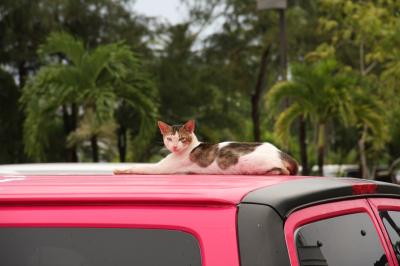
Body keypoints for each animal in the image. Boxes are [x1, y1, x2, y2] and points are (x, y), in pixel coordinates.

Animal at [112, 120, 296, 175]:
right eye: (170, 138)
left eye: (182, 139)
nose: (175, 146)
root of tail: (281, 153)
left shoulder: (160, 168)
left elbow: (139, 167)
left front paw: (120, 170)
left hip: (252, 163)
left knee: (283, 172)